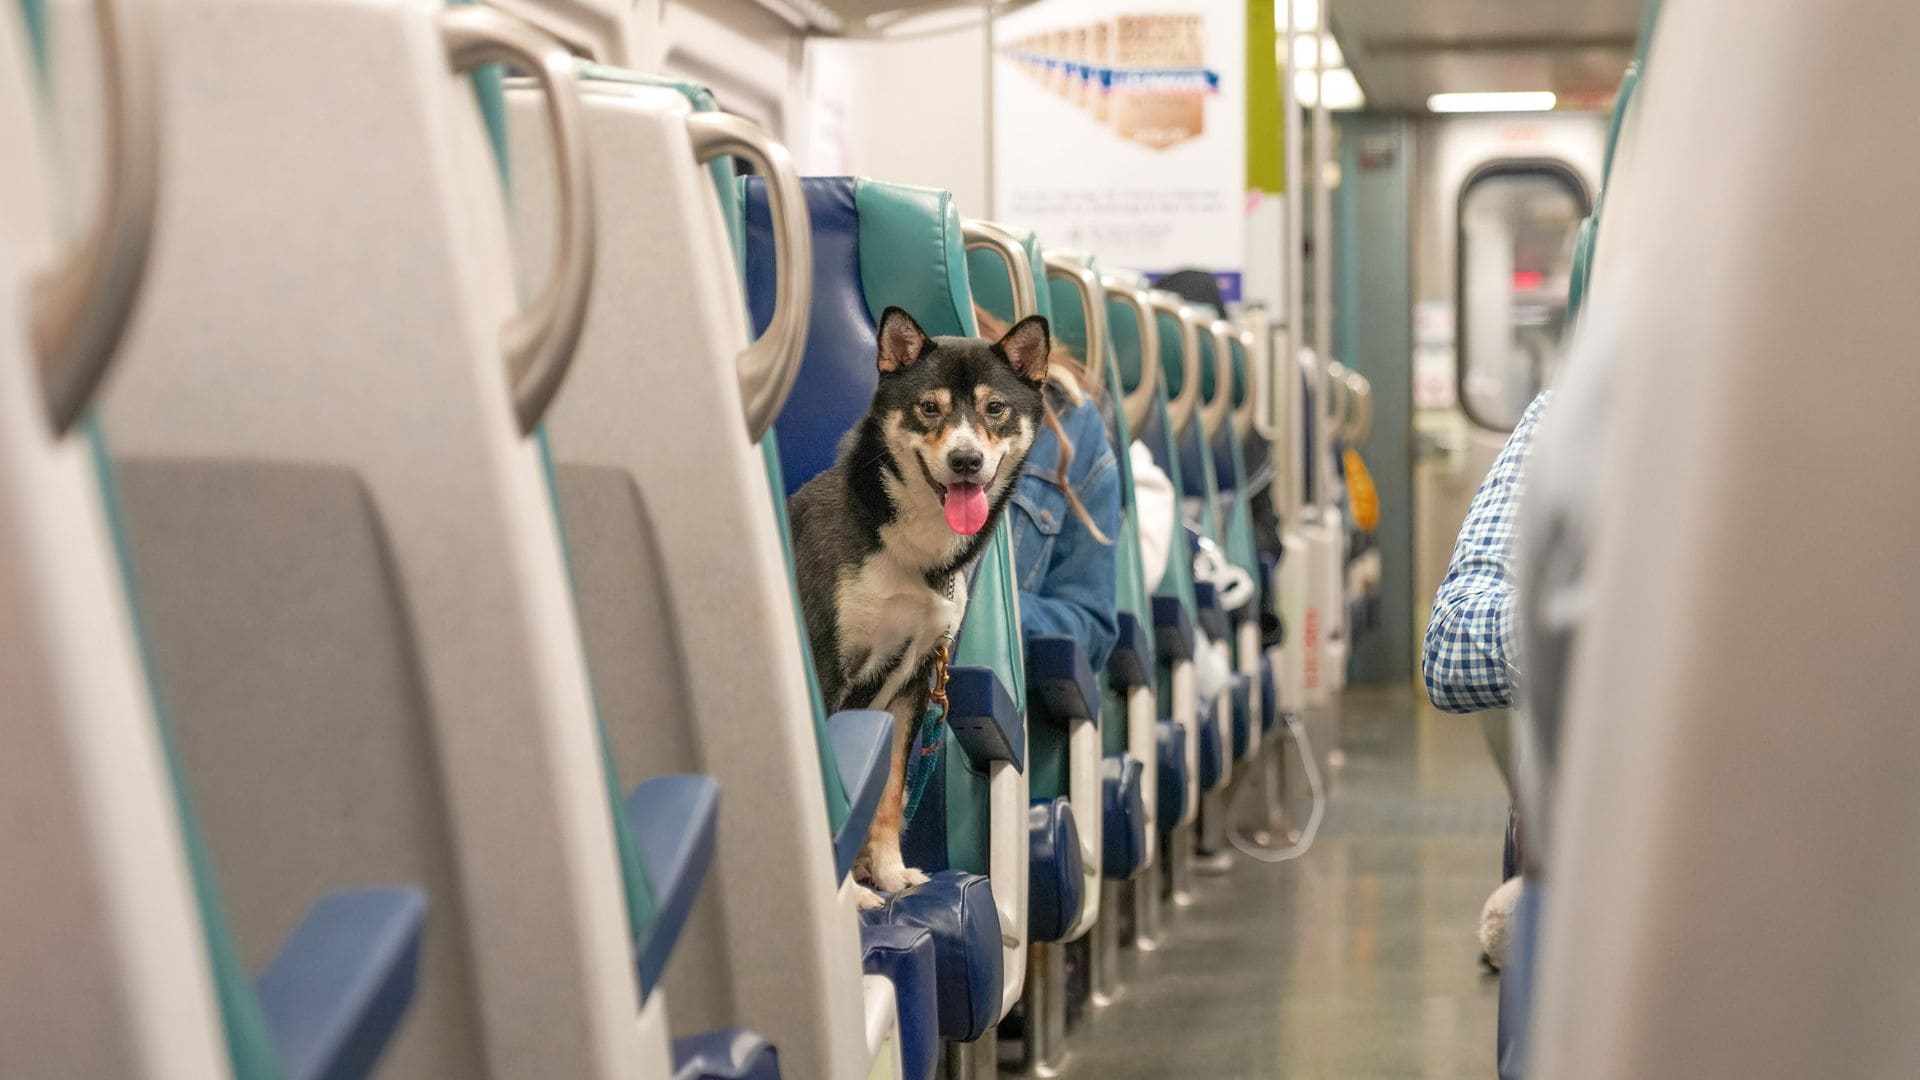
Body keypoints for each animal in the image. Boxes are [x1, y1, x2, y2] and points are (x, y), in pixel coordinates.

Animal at [783, 307, 1052, 903]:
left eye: (995, 408)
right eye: (930, 407)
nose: (966, 459)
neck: (904, 550)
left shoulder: (912, 682)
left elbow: (886, 794)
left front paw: (889, 874)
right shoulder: (827, 668)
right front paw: (854, 899)